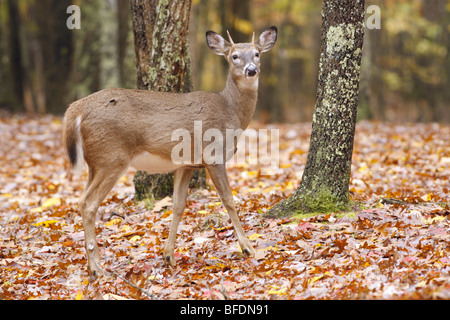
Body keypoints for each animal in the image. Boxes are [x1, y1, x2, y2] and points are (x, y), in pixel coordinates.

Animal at [61, 26, 276, 276]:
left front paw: (168, 256)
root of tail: (76, 108)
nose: (251, 70)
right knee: (88, 203)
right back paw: (98, 269)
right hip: (112, 157)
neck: (230, 112)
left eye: (257, 53)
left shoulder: (187, 163)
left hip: (95, 162)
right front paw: (248, 247)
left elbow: (177, 205)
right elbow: (229, 200)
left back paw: (91, 265)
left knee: (82, 199)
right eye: (234, 56)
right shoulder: (213, 154)